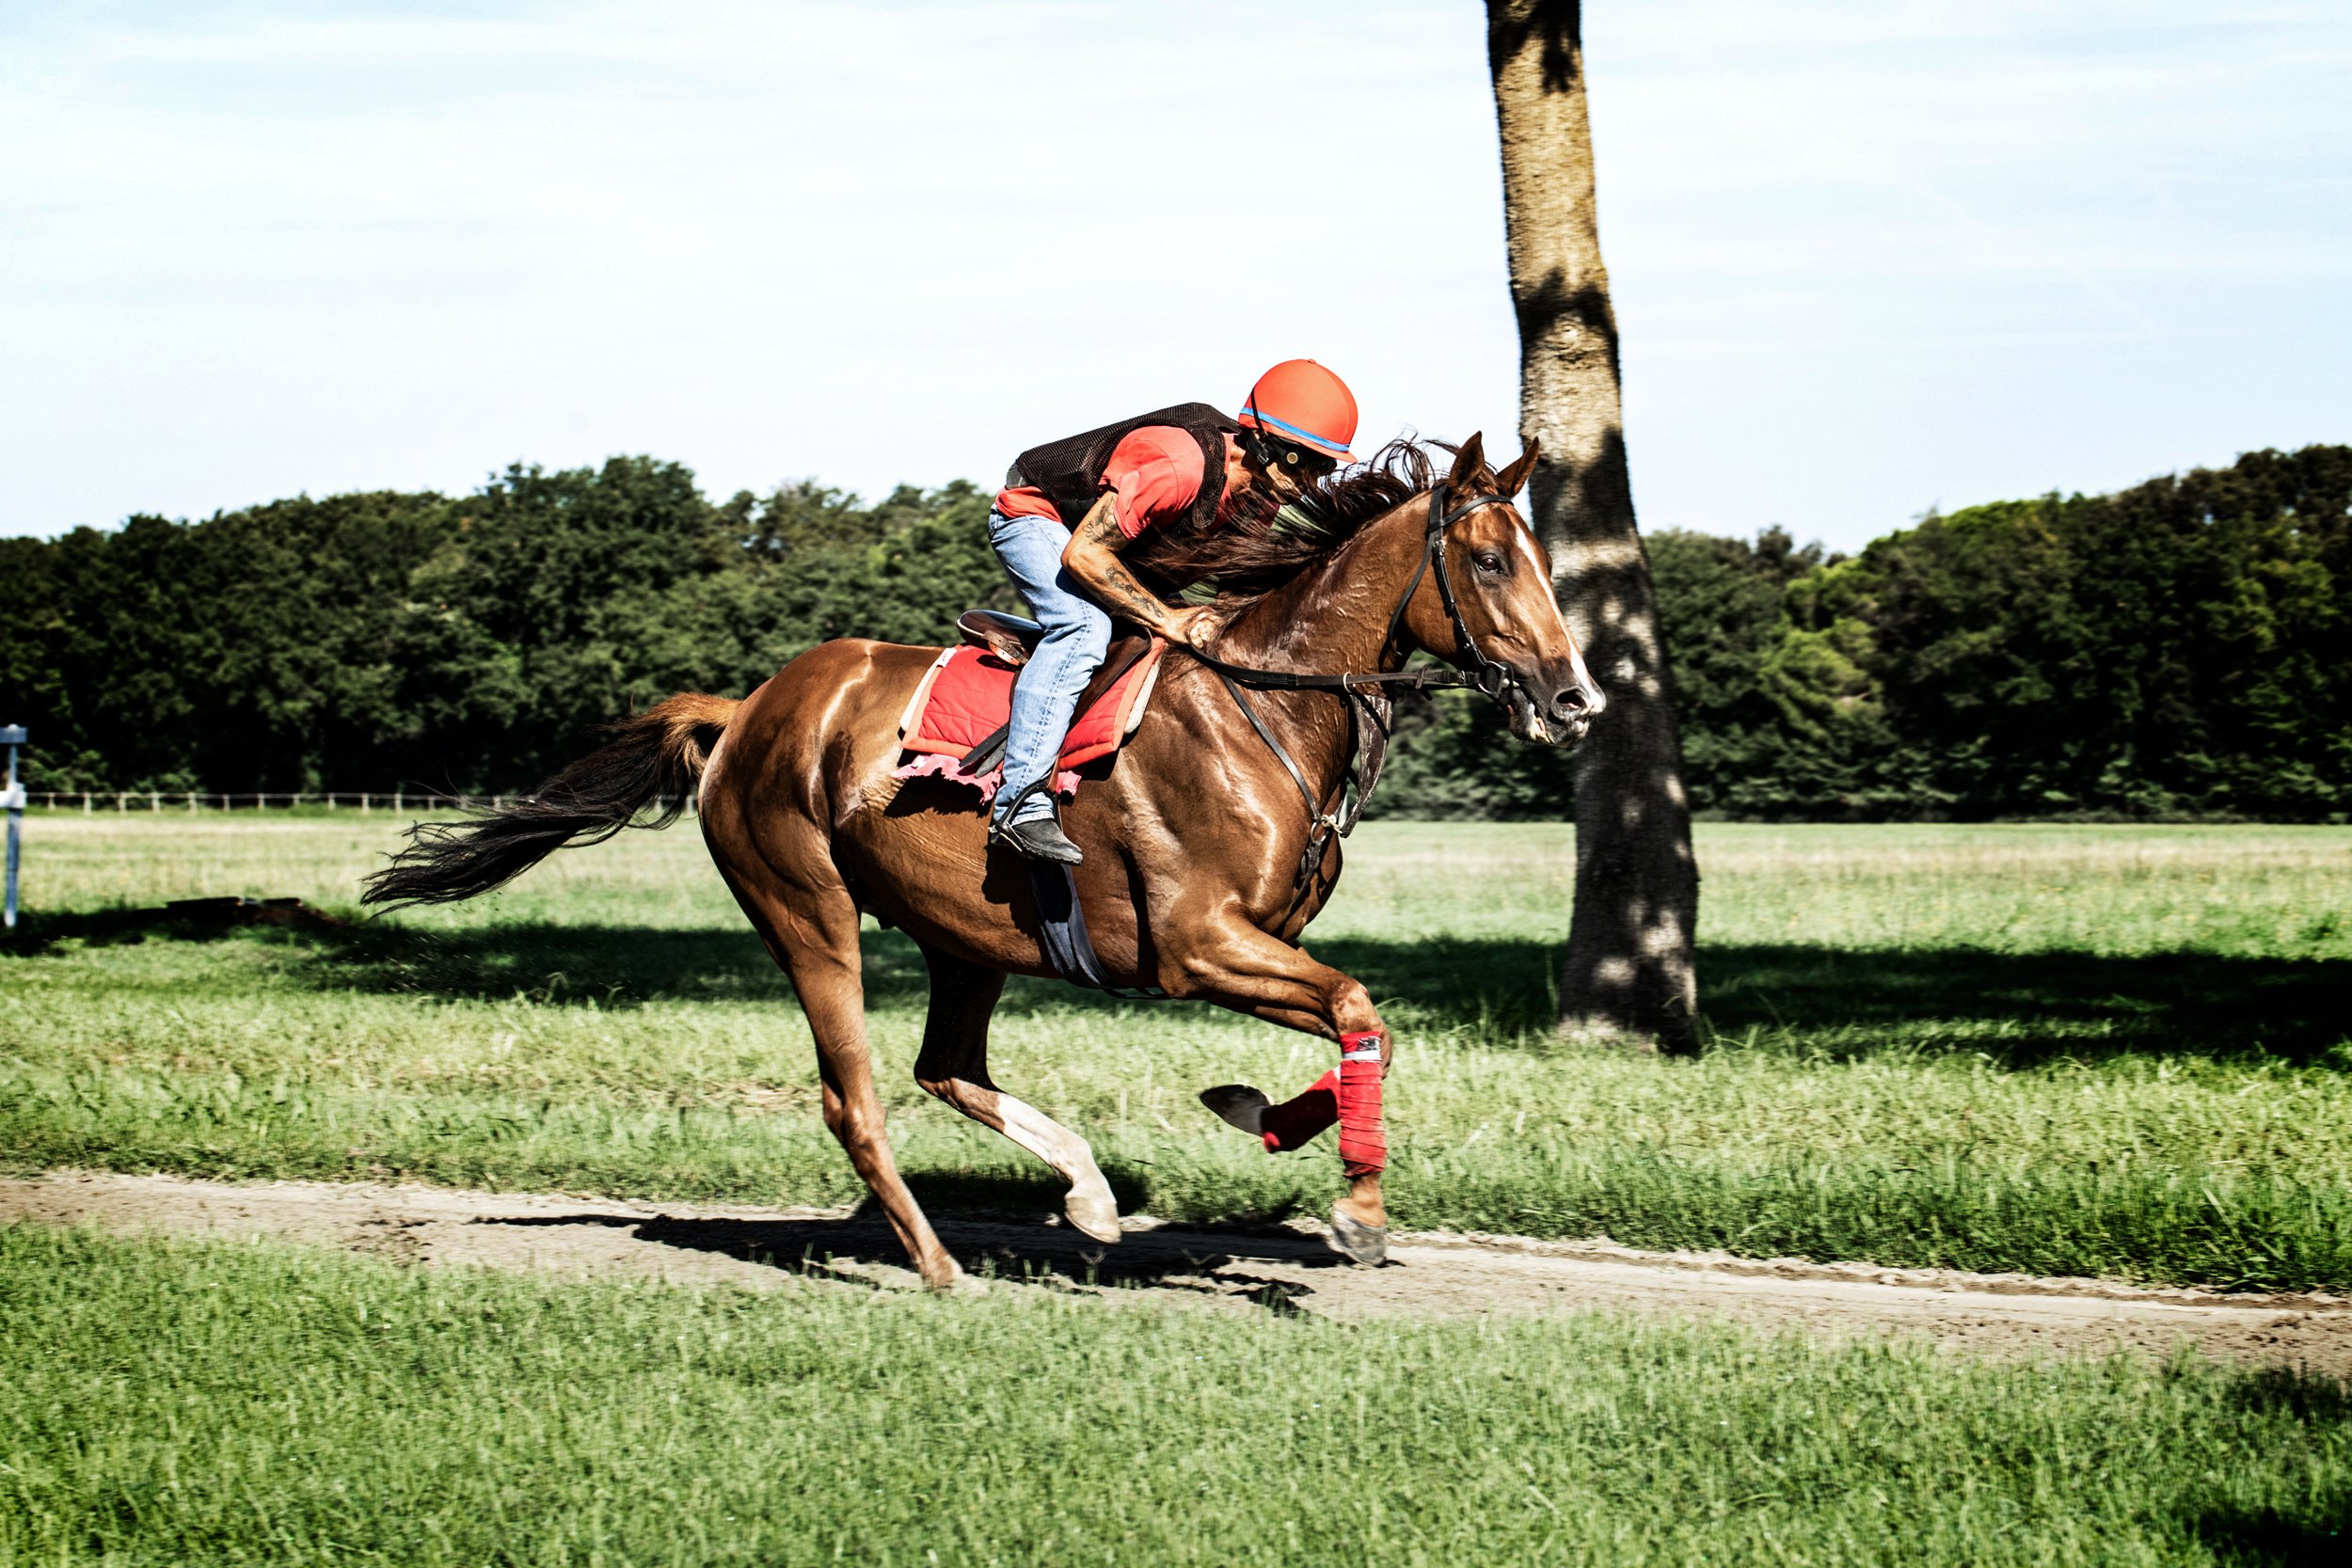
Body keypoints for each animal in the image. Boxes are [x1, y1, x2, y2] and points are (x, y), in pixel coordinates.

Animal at [367, 432, 1609, 1288]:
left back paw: (1089, 1196)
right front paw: (1354, 1210)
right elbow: (1357, 1005)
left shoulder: (1259, 943)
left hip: (965, 933)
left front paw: (1258, 1112)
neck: (1263, 705)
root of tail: (749, 705)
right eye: (1489, 560)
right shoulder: (1197, 945)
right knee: (857, 1098)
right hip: (805, 908)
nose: (1574, 699)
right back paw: (937, 1263)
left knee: (944, 1066)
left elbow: (1364, 1027)